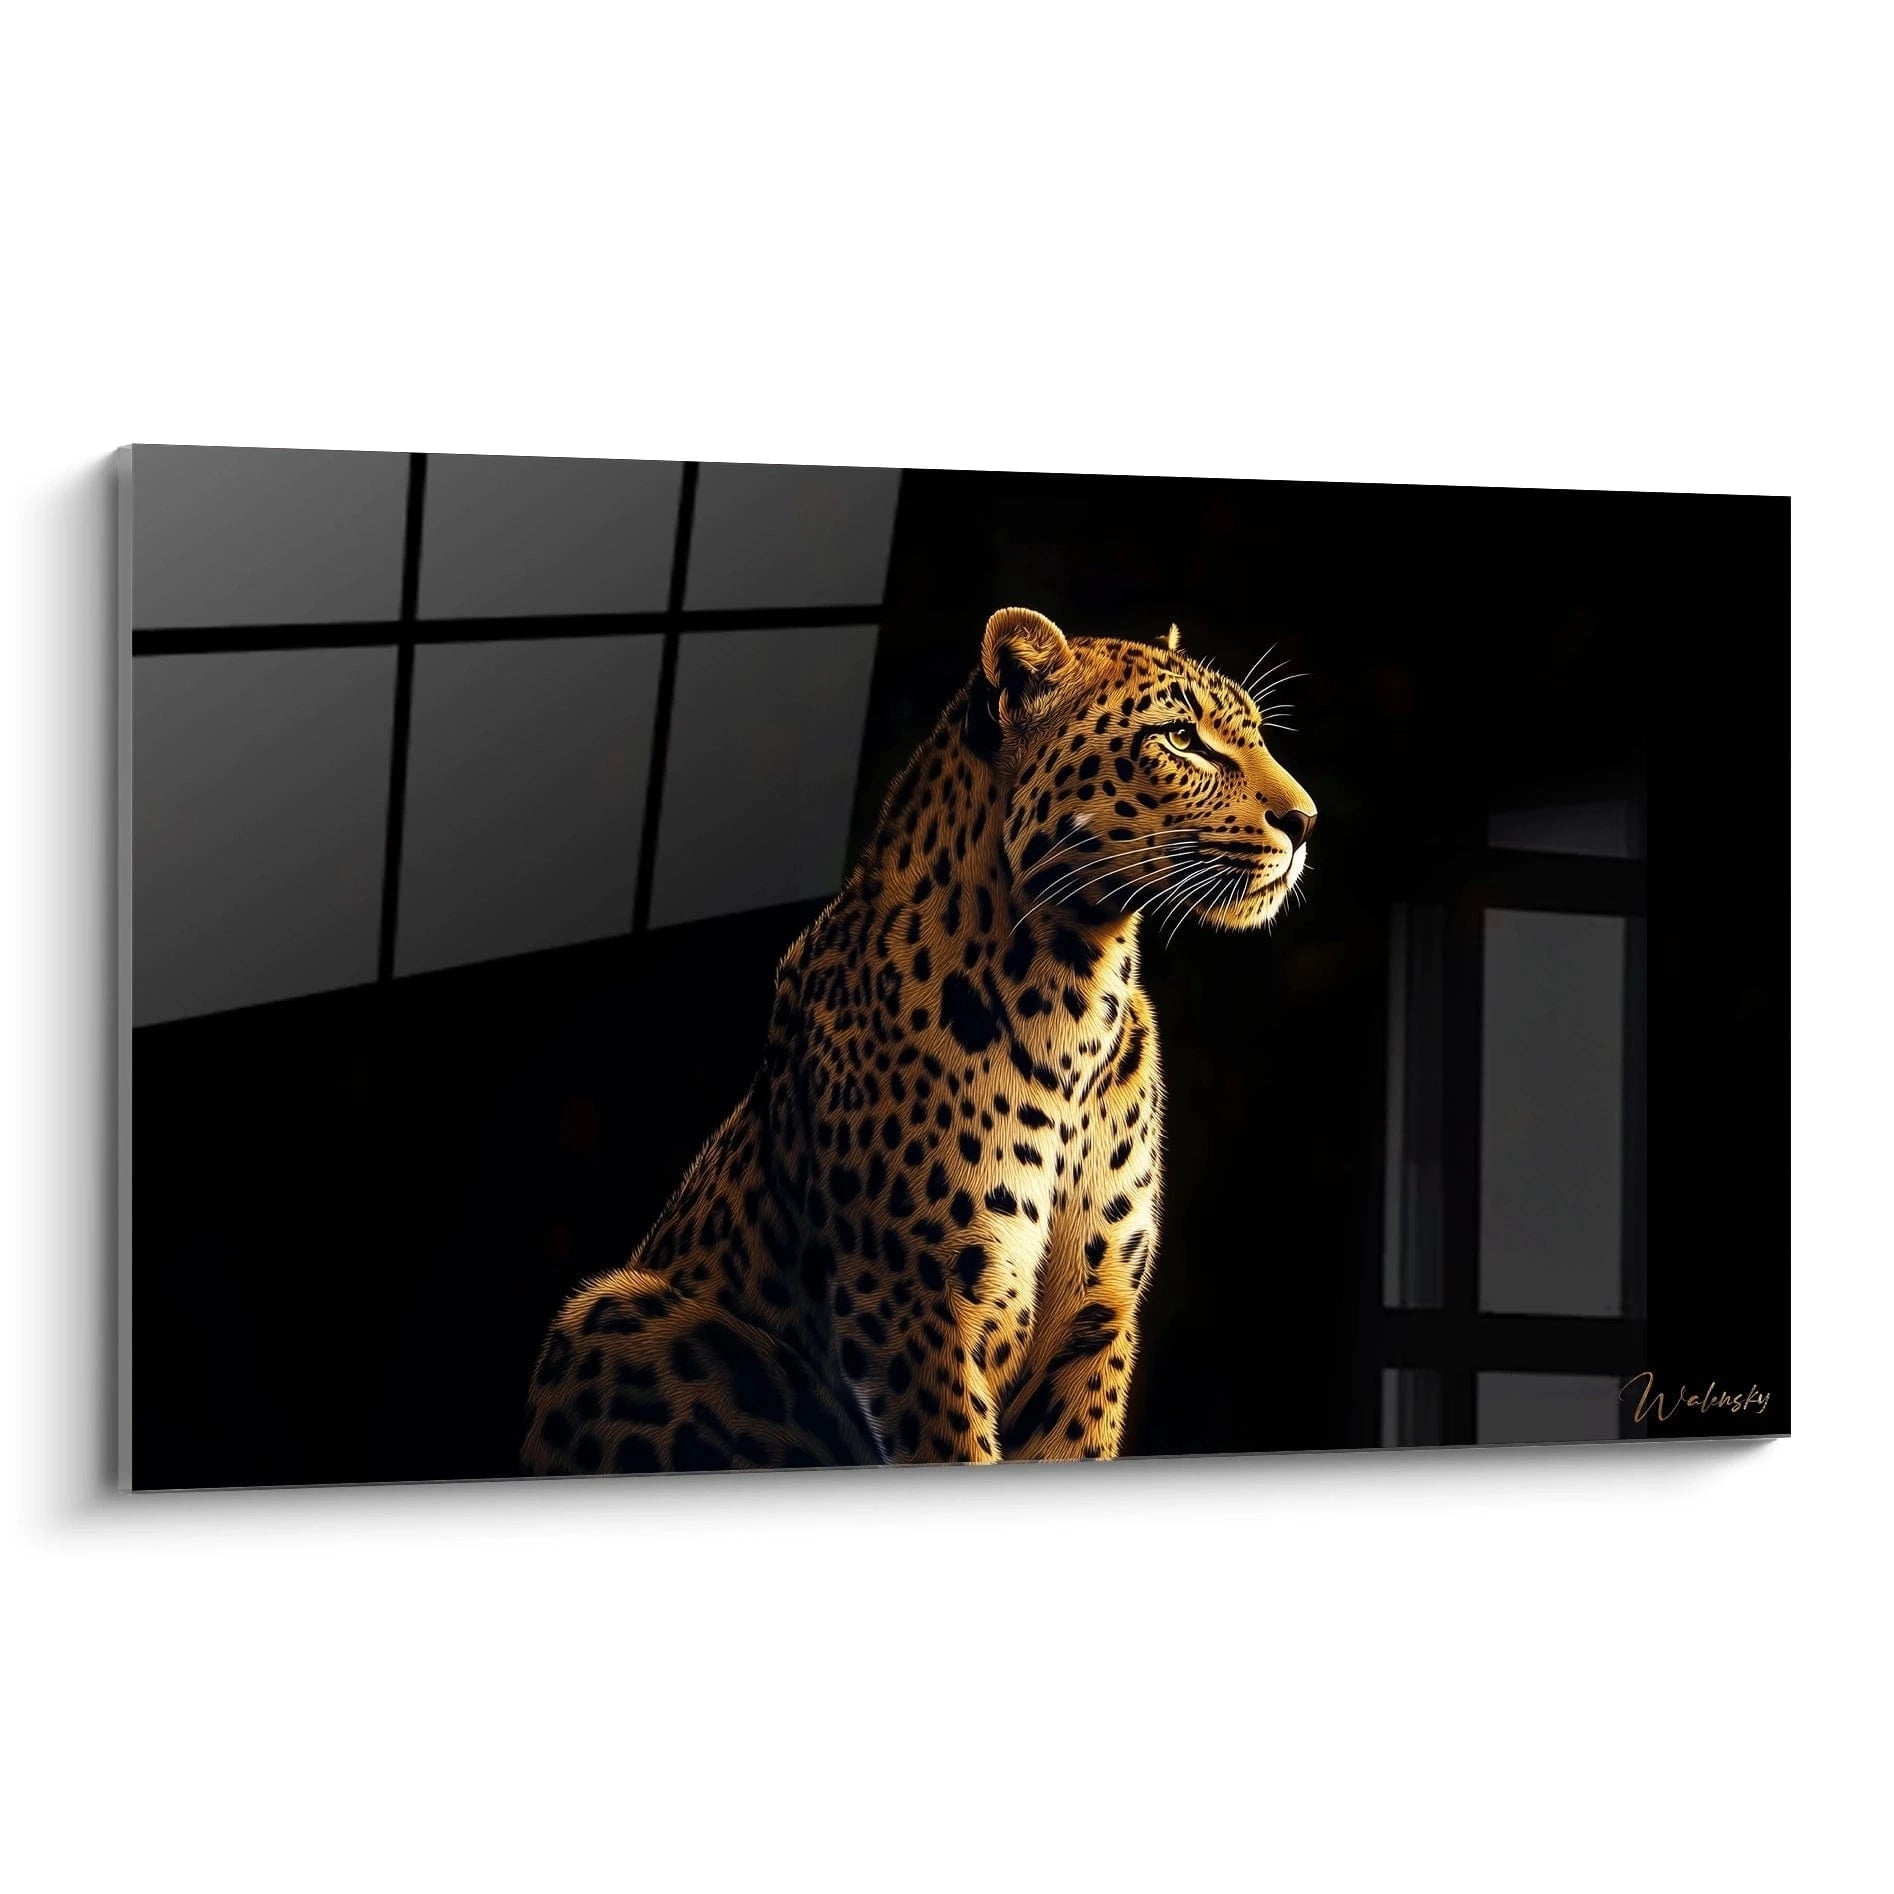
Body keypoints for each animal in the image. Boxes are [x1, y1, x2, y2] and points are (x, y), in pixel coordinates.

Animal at [522, 606, 1316, 1475]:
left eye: (1254, 733)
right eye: (1180, 738)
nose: (1306, 821)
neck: (1074, 986)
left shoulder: (1096, 1312)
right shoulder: (909, 1304)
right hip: (611, 1317)